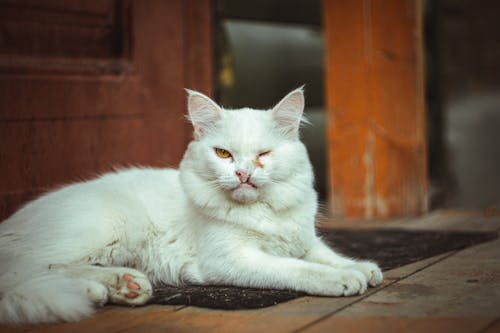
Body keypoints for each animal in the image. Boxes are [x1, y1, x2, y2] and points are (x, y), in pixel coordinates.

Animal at [0, 88, 382, 324]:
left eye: (263, 155)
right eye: (224, 154)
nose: (243, 174)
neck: (259, 211)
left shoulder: (301, 239)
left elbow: (325, 255)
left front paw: (363, 268)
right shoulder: (231, 260)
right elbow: (296, 269)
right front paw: (342, 279)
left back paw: (123, 287)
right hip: (107, 229)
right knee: (37, 268)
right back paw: (102, 290)